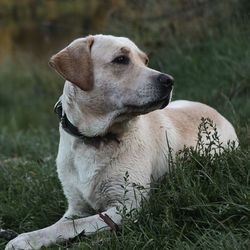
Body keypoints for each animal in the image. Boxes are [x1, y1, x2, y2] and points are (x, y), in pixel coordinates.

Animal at [4, 34, 238, 249]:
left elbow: (72, 226)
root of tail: (217, 113)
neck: (95, 140)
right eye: (121, 59)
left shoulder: (127, 206)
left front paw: (23, 239)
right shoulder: (76, 208)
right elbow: (57, 226)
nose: (169, 80)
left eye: (145, 61)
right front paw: (28, 238)